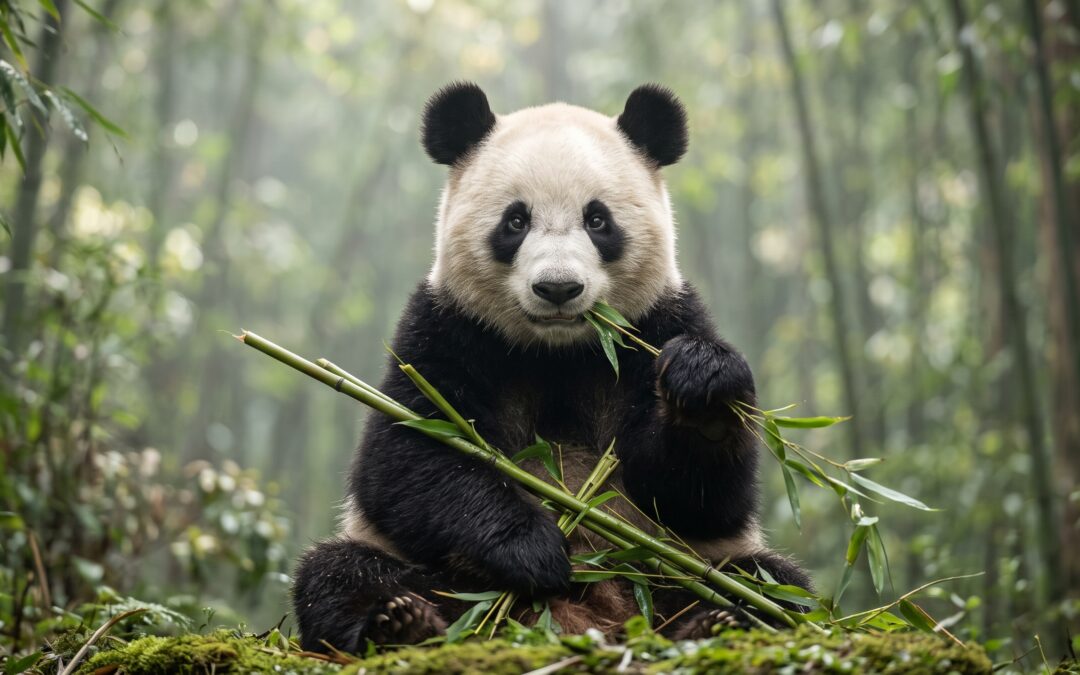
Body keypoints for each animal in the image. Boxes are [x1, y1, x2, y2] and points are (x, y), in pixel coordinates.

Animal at [292, 82, 811, 653]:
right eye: (516, 221)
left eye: (598, 220)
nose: (558, 288)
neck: (557, 351)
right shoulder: (446, 330)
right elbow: (408, 454)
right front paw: (533, 549)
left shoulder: (656, 324)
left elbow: (701, 498)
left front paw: (704, 390)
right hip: (433, 572)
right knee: (340, 573)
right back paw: (402, 623)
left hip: (680, 569)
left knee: (770, 584)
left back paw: (716, 623)